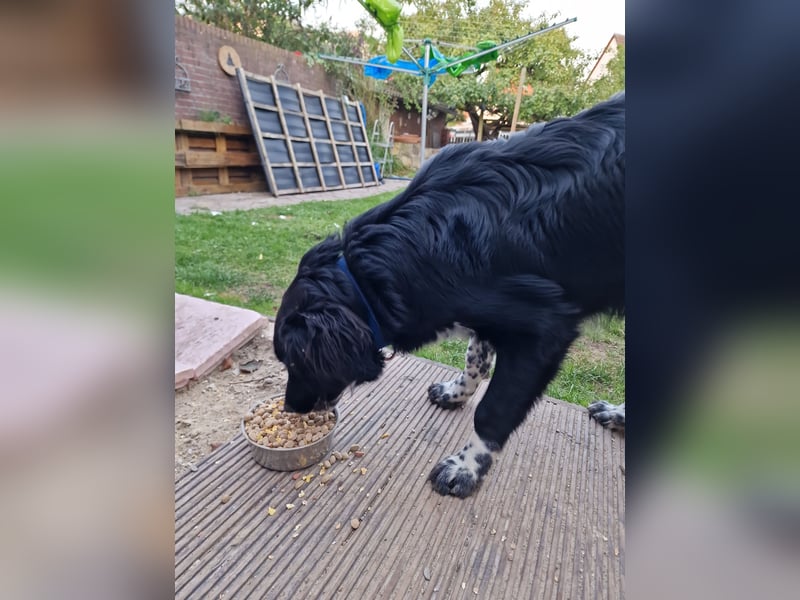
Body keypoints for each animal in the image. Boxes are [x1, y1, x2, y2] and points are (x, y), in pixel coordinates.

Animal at [276, 92, 624, 496]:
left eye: (294, 362)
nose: (290, 409)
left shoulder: (546, 328)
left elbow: (491, 412)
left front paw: (465, 468)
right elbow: (475, 358)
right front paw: (456, 393)